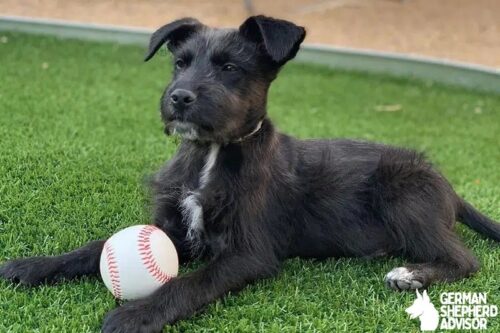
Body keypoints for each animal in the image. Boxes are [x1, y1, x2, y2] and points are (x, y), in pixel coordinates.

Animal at [0, 15, 500, 332]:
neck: (212, 153)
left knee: (464, 260)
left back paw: (410, 275)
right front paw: (34, 265)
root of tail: (447, 185)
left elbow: (192, 281)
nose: (179, 97)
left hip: (403, 194)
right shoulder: (171, 227)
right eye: (180, 63)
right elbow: (94, 247)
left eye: (229, 68)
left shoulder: (248, 252)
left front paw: (139, 314)